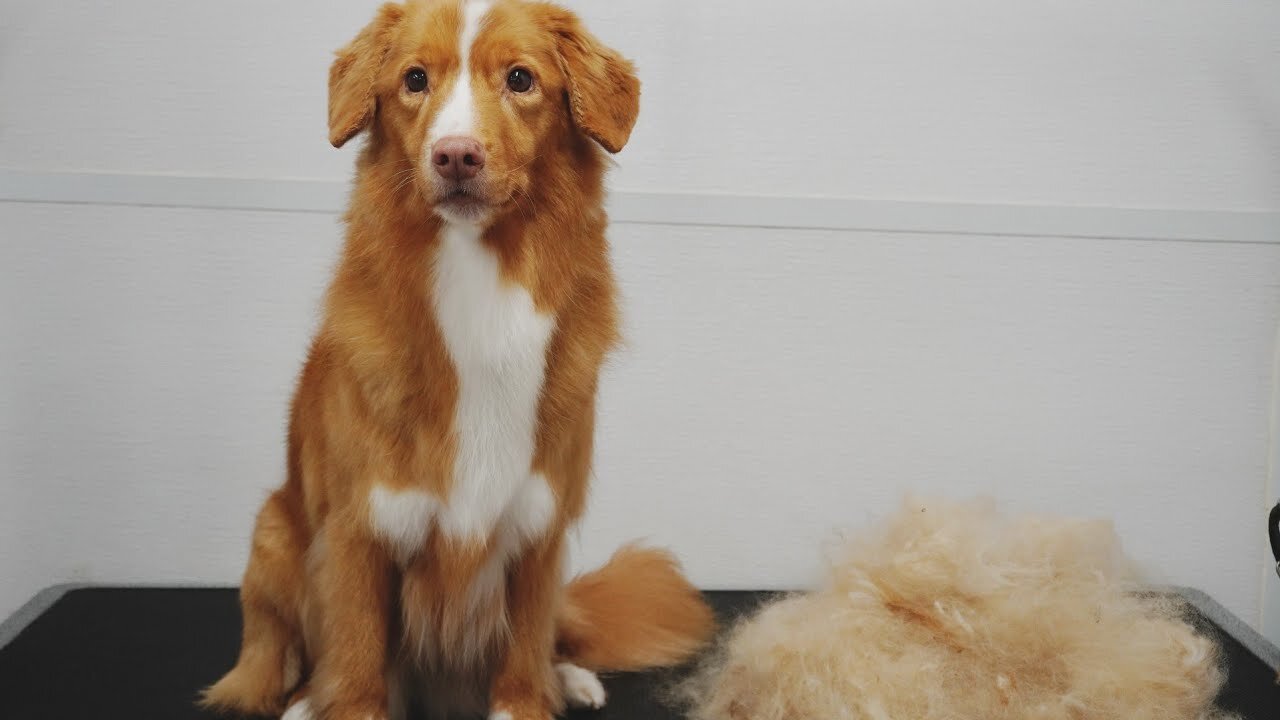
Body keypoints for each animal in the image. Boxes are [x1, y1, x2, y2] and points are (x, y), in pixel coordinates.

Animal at [203, 1, 716, 717]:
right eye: (415, 79)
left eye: (521, 79)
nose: (455, 156)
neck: (479, 291)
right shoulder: (360, 531)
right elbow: (356, 664)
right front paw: (339, 700)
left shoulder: (538, 529)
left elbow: (523, 661)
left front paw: (537, 693)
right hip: (273, 534)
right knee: (291, 655)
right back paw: (303, 700)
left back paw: (571, 677)